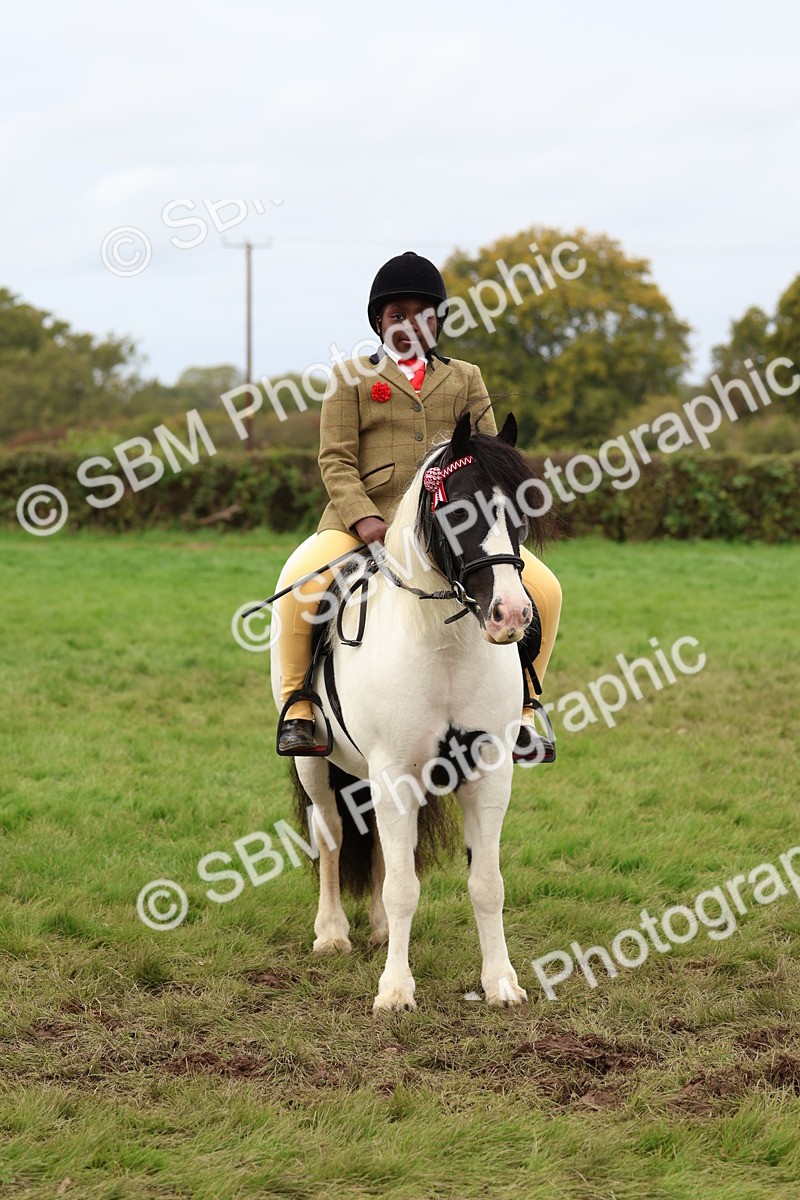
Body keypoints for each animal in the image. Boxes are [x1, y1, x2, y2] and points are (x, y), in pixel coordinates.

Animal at [270, 409, 556, 1012]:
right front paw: (396, 991)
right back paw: (332, 934)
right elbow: (403, 886)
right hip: (317, 766)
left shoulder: (487, 771)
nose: (511, 614)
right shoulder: (394, 771)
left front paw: (501, 983)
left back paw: (378, 929)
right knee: (330, 832)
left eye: (524, 508)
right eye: (458, 509)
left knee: (377, 839)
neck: (441, 645)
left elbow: (487, 884)